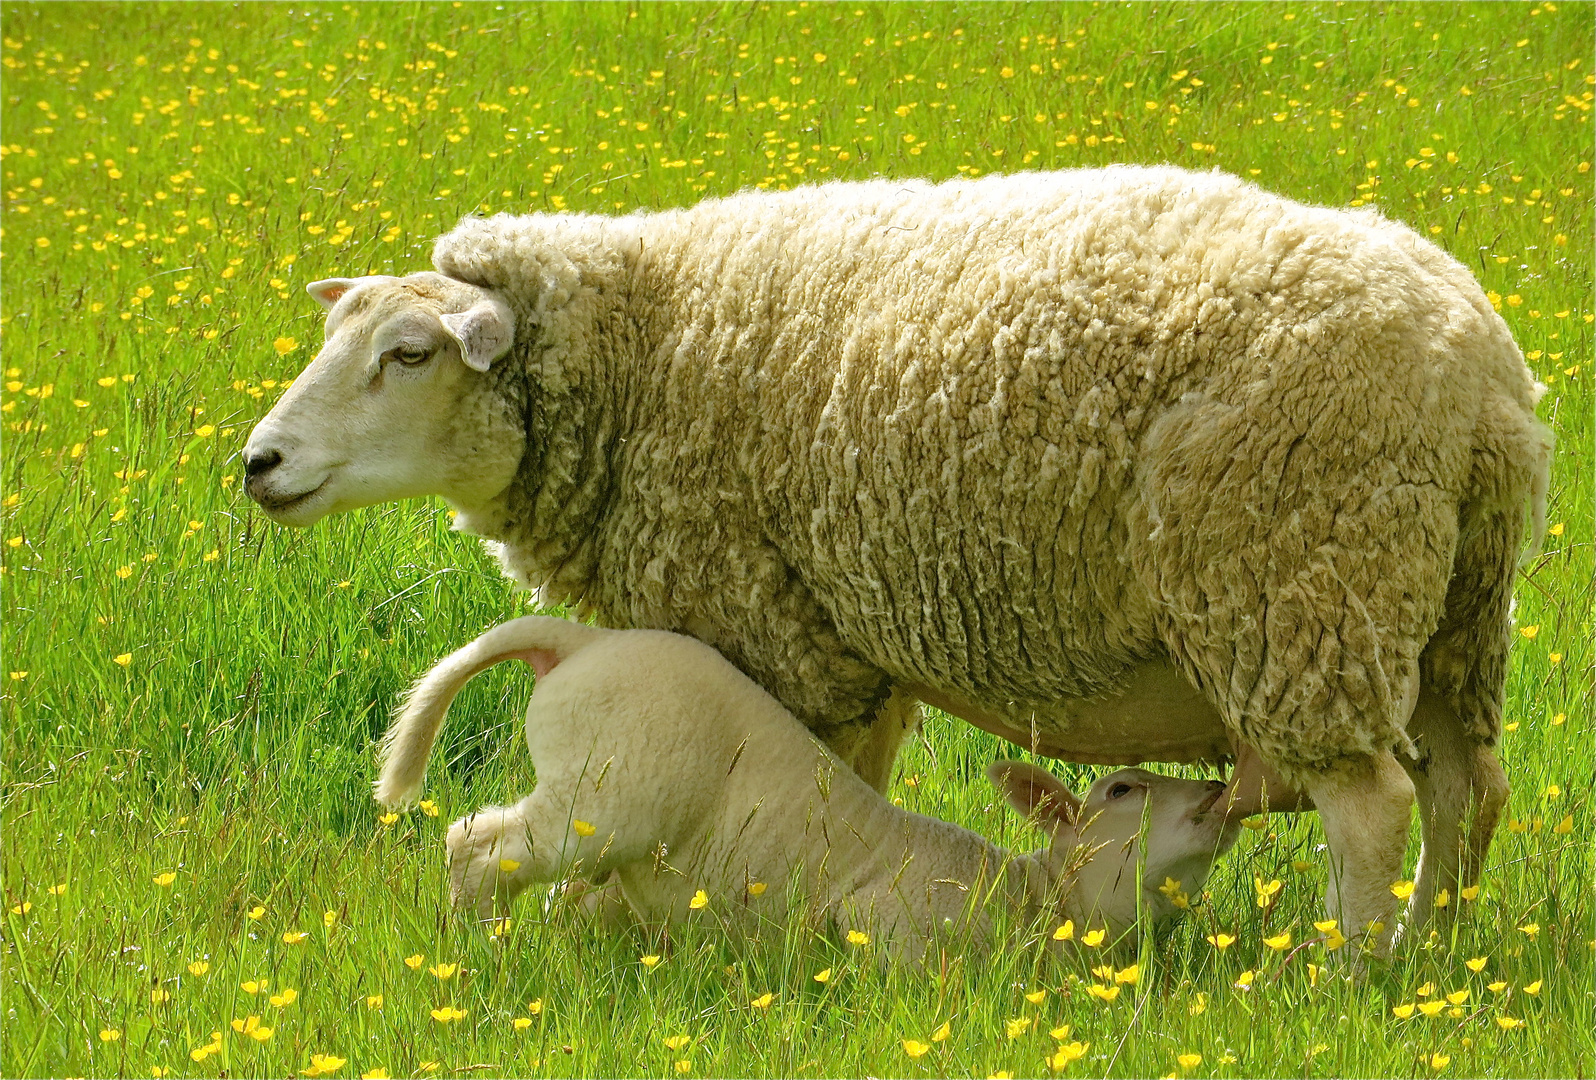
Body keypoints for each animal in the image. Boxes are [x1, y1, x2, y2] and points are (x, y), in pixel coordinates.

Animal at [376, 609, 1244, 957]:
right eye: (1122, 791)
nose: (1217, 799)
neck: (1043, 902)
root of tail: (579, 642)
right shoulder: (886, 918)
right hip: (607, 798)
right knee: (478, 848)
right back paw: (479, 948)